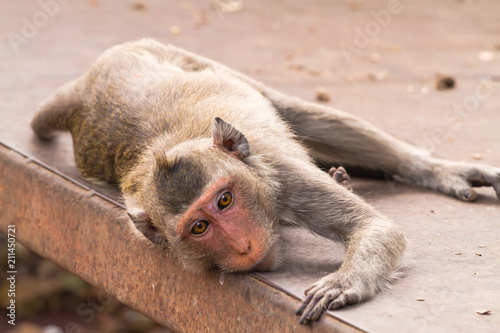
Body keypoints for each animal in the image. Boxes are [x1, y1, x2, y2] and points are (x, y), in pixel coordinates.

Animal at [31, 39, 500, 324]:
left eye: (225, 200)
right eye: (199, 227)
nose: (242, 246)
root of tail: (88, 84)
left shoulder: (283, 176)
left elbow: (375, 227)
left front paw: (344, 282)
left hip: (188, 59)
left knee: (295, 111)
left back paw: (433, 169)